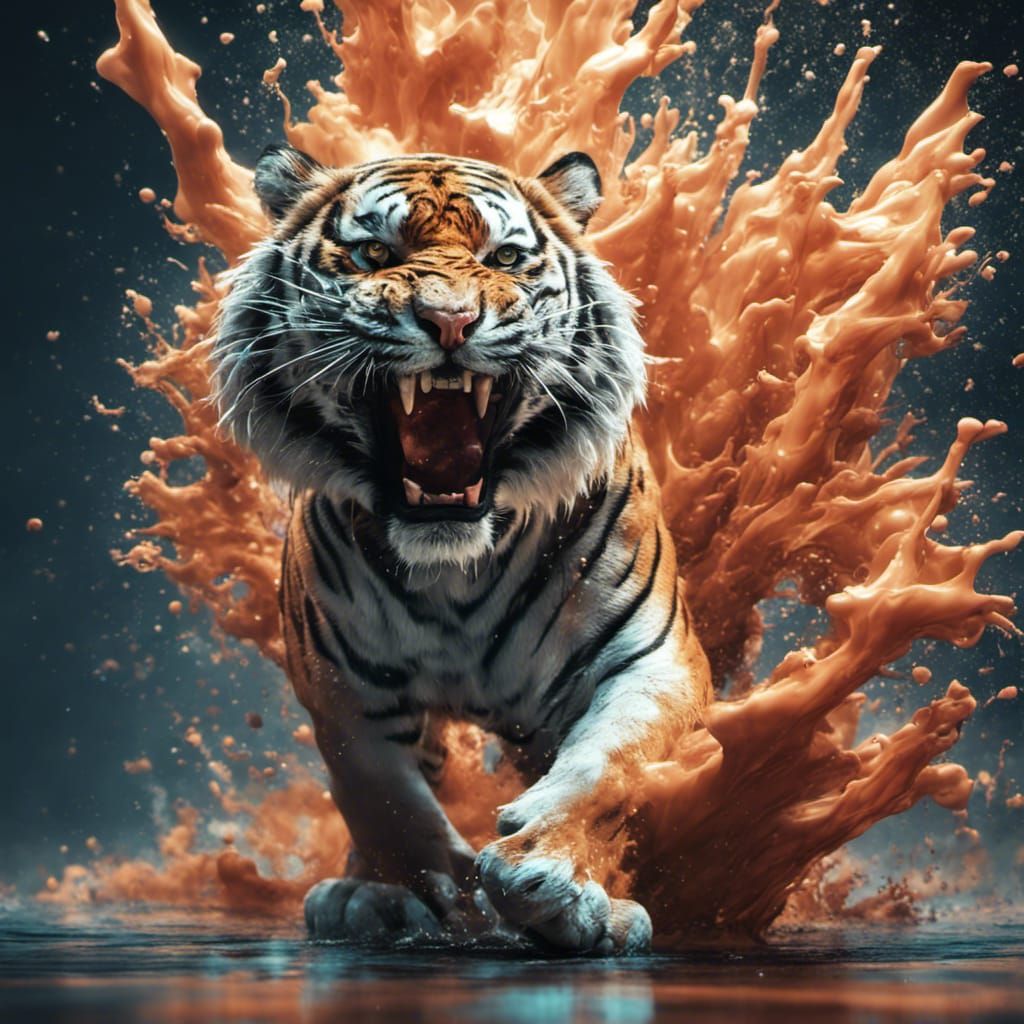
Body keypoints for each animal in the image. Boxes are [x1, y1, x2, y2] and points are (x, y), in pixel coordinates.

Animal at [213, 144, 712, 954]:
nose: (450, 321)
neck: (454, 568)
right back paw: (356, 895)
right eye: (375, 254)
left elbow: (609, 769)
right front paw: (432, 895)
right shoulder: (339, 684)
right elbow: (381, 795)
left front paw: (552, 882)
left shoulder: (650, 657)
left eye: (503, 257)